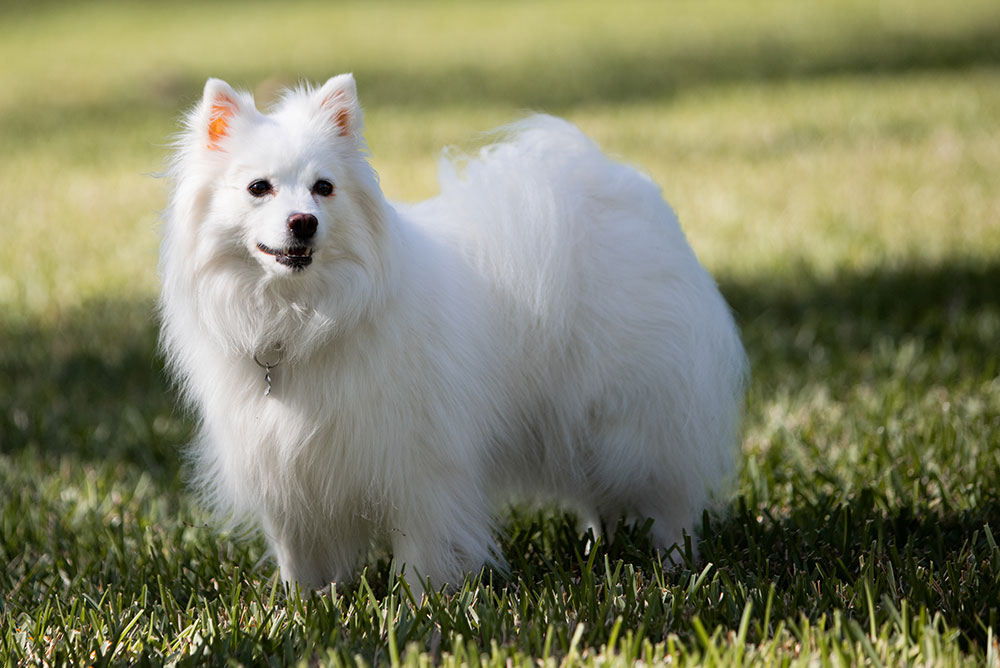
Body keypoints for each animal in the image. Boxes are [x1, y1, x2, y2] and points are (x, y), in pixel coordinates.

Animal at [160, 74, 748, 588]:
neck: (301, 320)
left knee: (671, 498)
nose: (303, 222)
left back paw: (674, 565)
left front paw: (416, 607)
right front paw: (301, 607)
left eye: (323, 188)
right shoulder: (286, 475)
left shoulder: (420, 467)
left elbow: (419, 554)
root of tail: (617, 190)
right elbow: (298, 560)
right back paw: (597, 548)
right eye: (258, 188)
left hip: (632, 421)